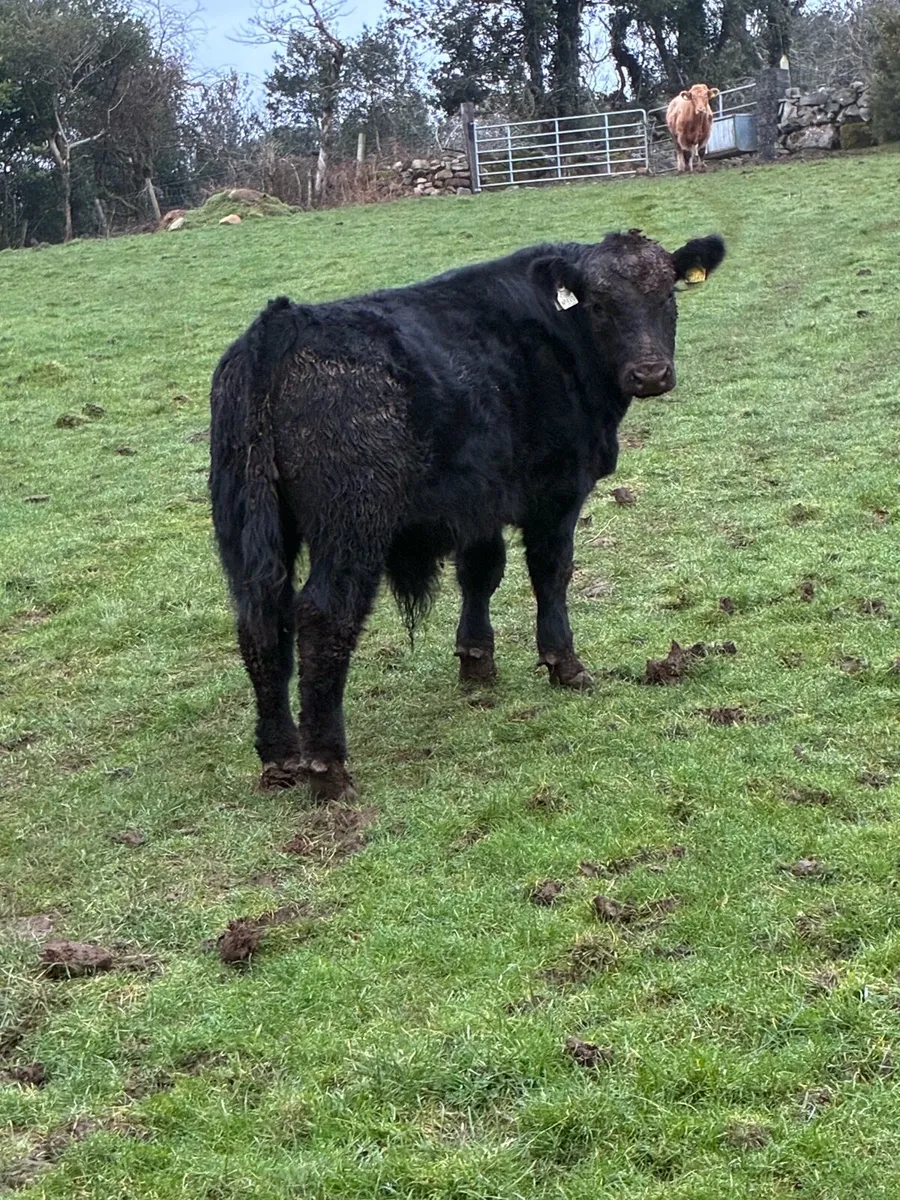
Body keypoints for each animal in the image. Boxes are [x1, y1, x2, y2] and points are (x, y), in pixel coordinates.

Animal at [209, 230, 726, 800]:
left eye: (667, 294)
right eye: (598, 304)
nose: (650, 373)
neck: (559, 338)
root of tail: (284, 320)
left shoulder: (478, 502)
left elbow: (481, 573)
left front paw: (477, 662)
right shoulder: (556, 493)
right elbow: (551, 573)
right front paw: (565, 665)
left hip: (248, 529)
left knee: (260, 620)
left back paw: (280, 757)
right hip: (351, 526)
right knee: (324, 617)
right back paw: (328, 768)